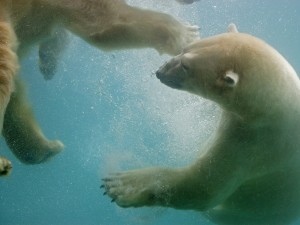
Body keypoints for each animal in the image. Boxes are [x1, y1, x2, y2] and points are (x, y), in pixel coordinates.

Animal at [102, 23, 300, 224]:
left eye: (186, 66)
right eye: (183, 49)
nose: (160, 71)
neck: (269, 107)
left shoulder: (256, 144)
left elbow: (203, 188)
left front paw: (122, 185)